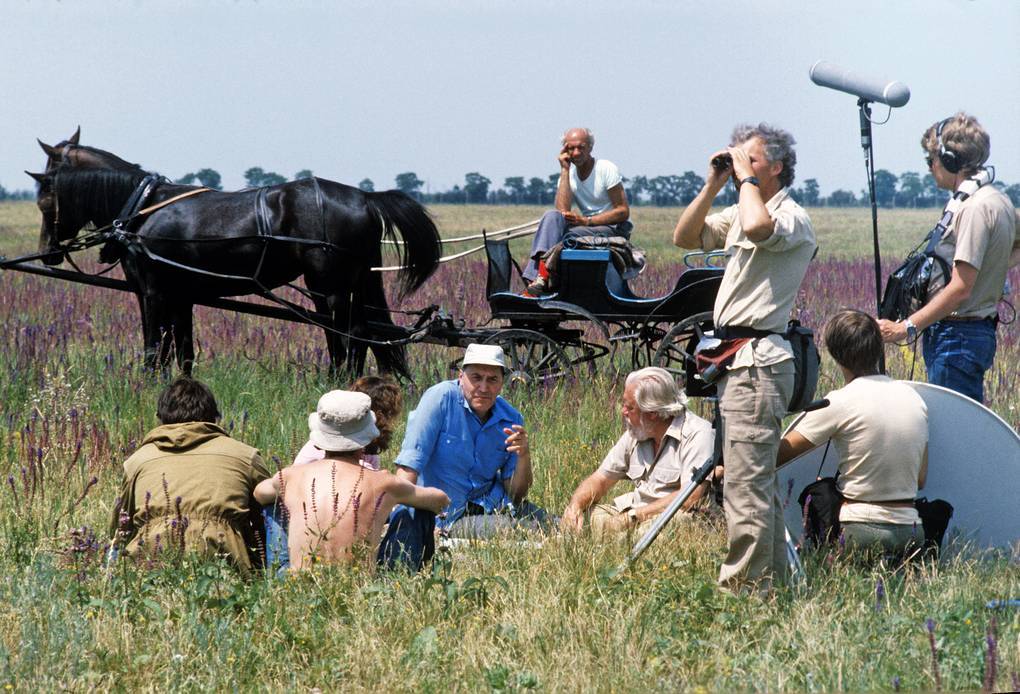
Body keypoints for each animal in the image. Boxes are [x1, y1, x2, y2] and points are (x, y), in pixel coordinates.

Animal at [28, 133, 438, 377]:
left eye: (44, 197)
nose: (47, 253)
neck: (144, 207)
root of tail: (365, 197)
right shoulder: (181, 296)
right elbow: (183, 351)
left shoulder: (152, 292)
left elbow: (153, 350)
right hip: (347, 286)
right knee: (360, 335)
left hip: (330, 287)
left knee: (350, 337)